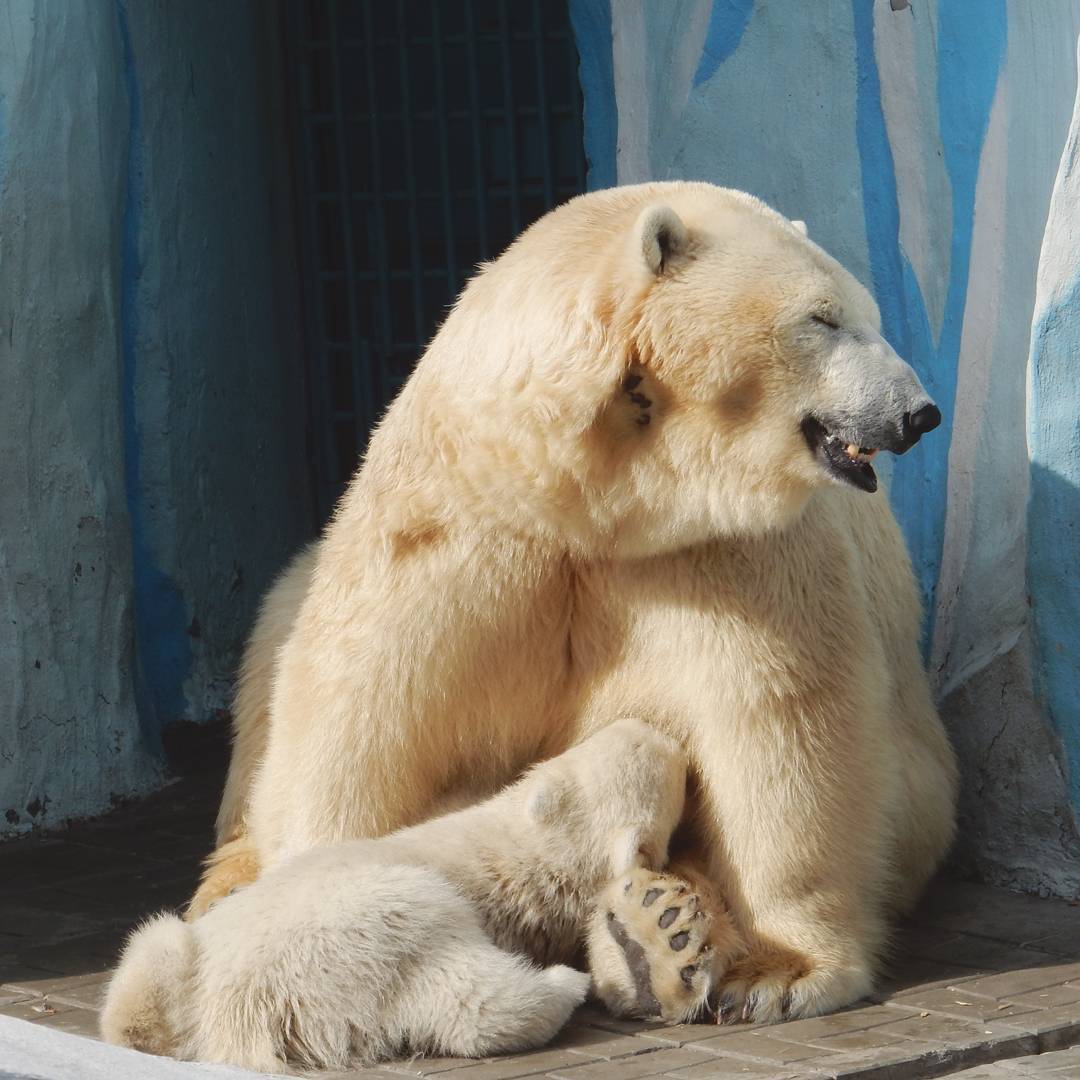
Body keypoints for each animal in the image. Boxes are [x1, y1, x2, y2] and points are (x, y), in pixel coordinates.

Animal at [101, 717, 708, 1071]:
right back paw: (559, 986)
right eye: (667, 758)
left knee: (150, 954)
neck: (526, 843)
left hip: (178, 958)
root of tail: (236, 1008)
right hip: (381, 922)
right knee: (465, 994)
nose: (660, 727)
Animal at [190, 181, 959, 1023]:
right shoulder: (467, 521)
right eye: (823, 318)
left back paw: (657, 932)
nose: (919, 413)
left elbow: (778, 721)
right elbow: (368, 698)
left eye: (866, 313)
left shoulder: (730, 553)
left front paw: (778, 972)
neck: (597, 497)